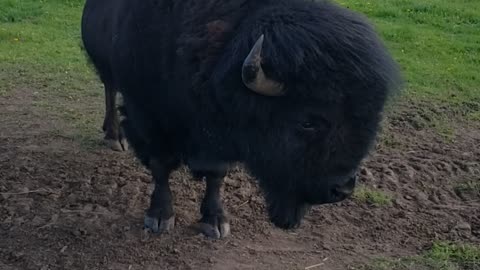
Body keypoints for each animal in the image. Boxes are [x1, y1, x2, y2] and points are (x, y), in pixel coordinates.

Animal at [81, 0, 402, 237]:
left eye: (371, 117)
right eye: (307, 121)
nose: (342, 189)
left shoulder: (222, 138)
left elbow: (216, 175)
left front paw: (215, 221)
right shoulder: (147, 117)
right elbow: (161, 167)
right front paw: (160, 217)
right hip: (106, 69)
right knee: (109, 89)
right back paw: (113, 137)